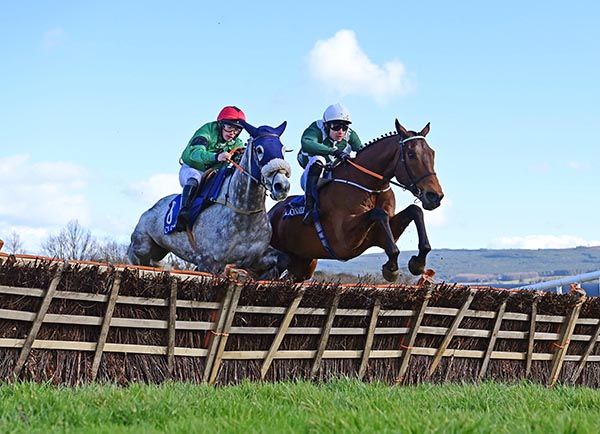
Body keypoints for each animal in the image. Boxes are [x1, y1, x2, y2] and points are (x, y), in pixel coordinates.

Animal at [127, 120, 292, 276]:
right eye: (259, 150)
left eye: (283, 149)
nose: (281, 186)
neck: (244, 214)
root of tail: (151, 209)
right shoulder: (210, 262)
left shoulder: (255, 257)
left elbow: (283, 260)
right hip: (142, 246)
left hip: (158, 251)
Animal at [270, 119, 442, 282]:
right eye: (411, 155)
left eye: (432, 154)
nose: (435, 196)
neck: (371, 188)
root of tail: (270, 213)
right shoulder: (345, 242)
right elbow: (379, 214)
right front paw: (392, 268)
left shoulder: (381, 234)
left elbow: (415, 210)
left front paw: (417, 262)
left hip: (303, 265)